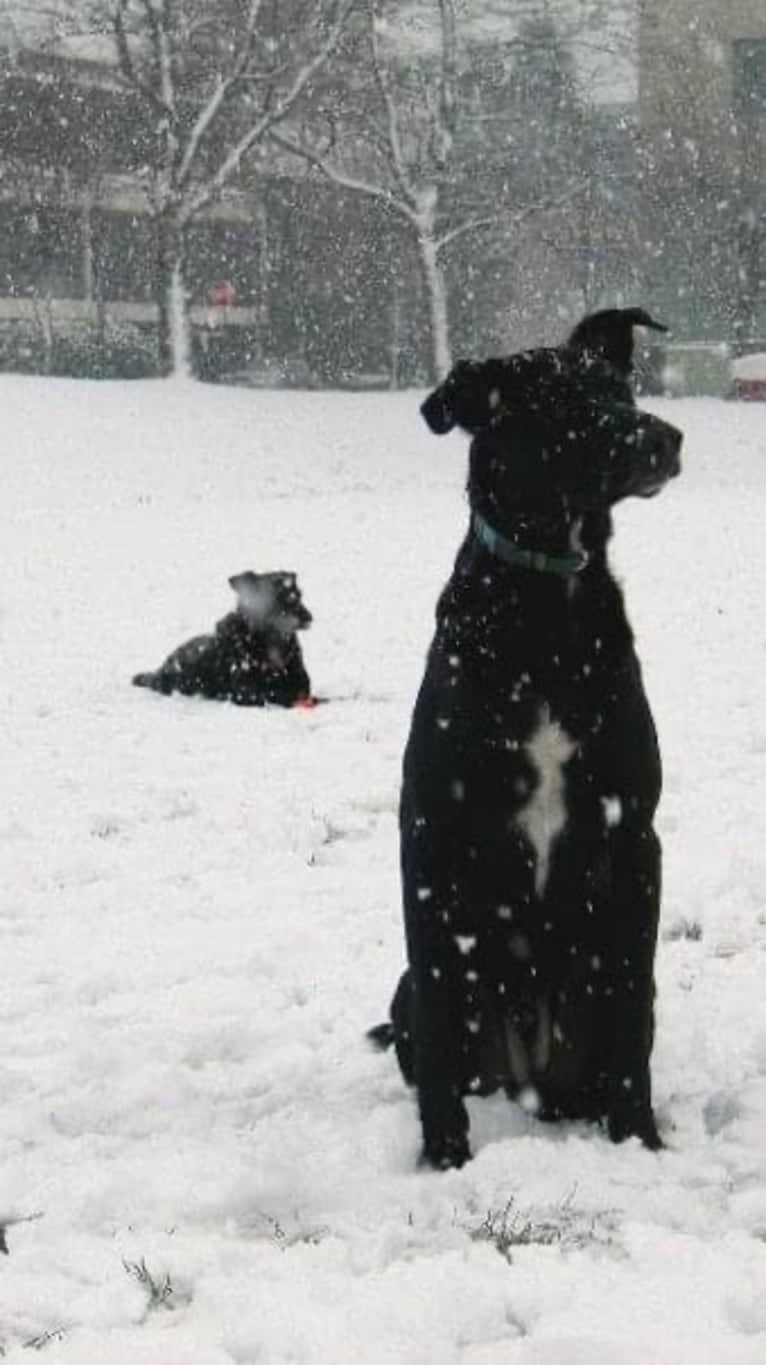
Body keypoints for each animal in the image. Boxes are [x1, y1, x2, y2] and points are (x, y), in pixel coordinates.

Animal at [132, 570, 314, 709]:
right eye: (282, 597)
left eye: (298, 595)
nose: (310, 617)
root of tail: (159, 670)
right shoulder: (245, 692)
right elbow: (273, 694)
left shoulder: (301, 681)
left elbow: (300, 688)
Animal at [371, 309, 679, 1173]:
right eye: (564, 403)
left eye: (621, 389)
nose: (668, 438)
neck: (548, 600)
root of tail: (532, 1082)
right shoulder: (429, 833)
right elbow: (439, 1025)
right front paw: (445, 1155)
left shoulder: (635, 834)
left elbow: (631, 1016)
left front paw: (638, 1139)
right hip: (406, 986)